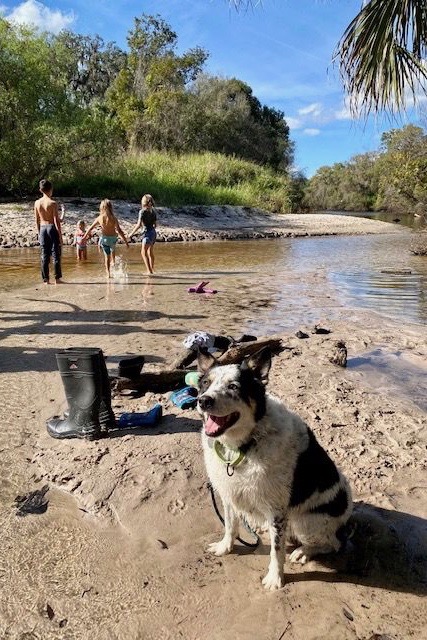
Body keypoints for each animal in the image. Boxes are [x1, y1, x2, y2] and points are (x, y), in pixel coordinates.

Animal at [199, 348, 352, 592]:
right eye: (205, 383)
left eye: (234, 386)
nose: (203, 400)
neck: (243, 446)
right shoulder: (229, 493)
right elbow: (230, 526)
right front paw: (225, 547)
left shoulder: (277, 509)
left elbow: (276, 550)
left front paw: (275, 578)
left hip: (305, 521)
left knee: (333, 543)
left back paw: (303, 551)